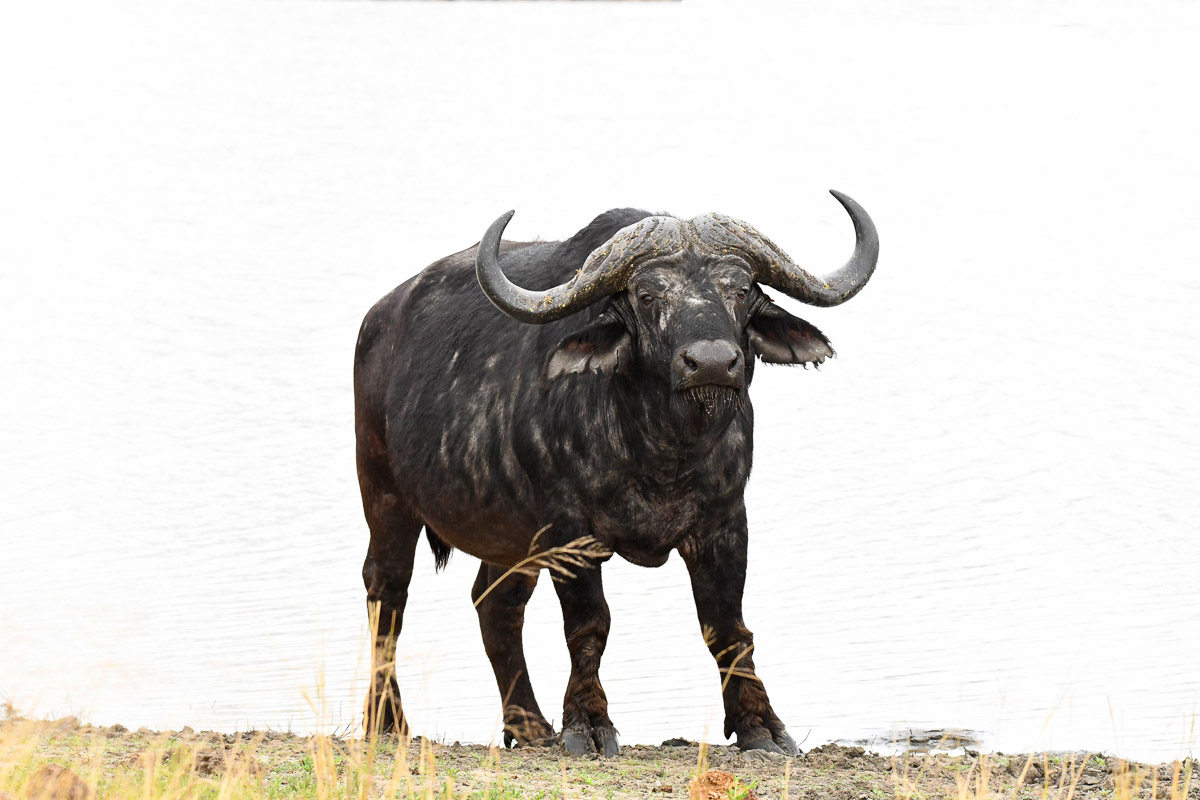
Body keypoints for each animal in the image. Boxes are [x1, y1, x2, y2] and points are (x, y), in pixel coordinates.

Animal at [354, 191, 879, 756]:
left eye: (740, 290)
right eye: (647, 296)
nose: (712, 363)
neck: (665, 452)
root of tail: (379, 320)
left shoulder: (726, 522)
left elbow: (727, 627)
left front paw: (760, 724)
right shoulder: (571, 531)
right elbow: (589, 625)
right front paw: (588, 724)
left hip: (511, 537)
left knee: (495, 607)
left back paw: (530, 726)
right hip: (383, 492)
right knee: (387, 596)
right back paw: (388, 722)